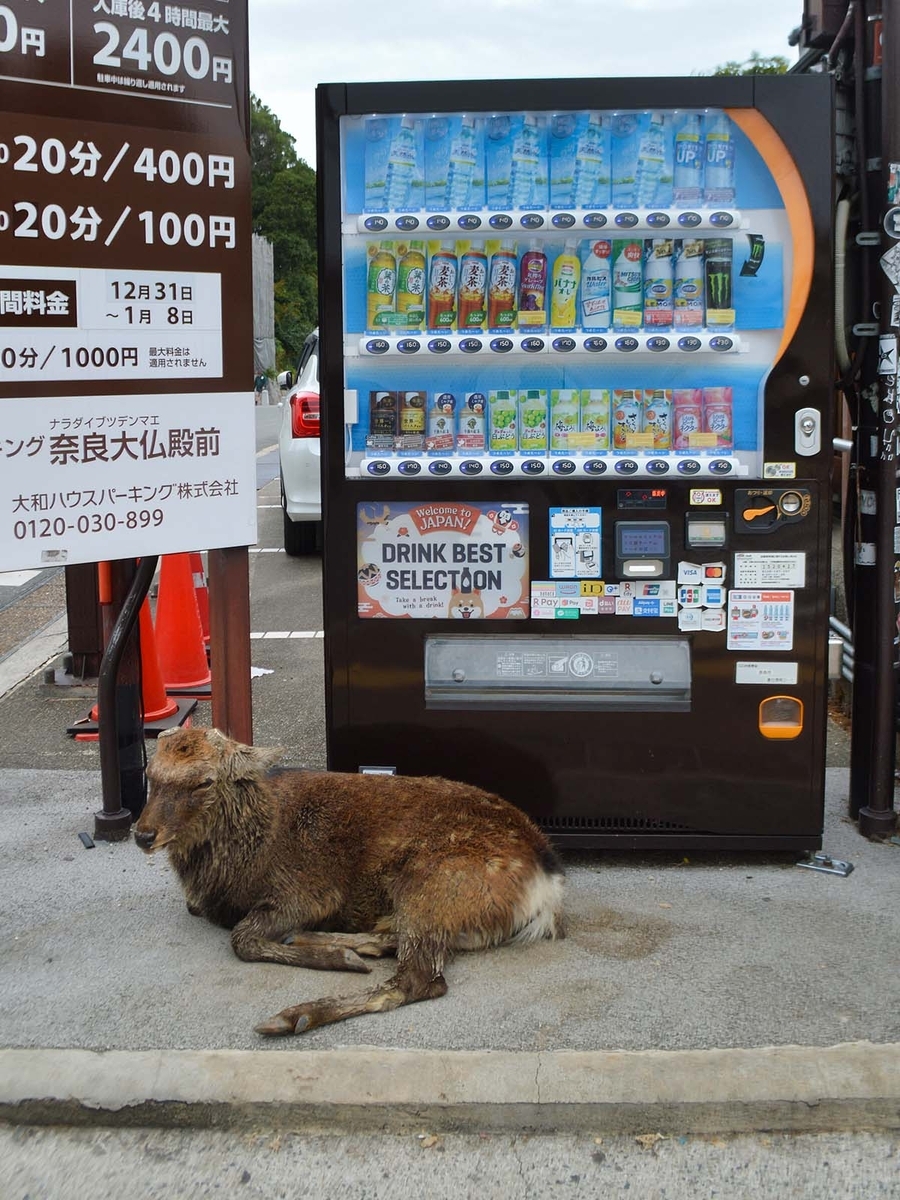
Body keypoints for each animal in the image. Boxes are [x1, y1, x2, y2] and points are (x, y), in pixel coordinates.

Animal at [133, 727, 565, 1037]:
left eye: (204, 782)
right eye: (149, 775)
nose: (142, 834)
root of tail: (549, 879)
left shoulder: (307, 890)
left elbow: (242, 938)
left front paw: (335, 959)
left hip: (433, 880)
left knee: (418, 980)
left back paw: (297, 1012)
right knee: (404, 944)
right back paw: (331, 943)